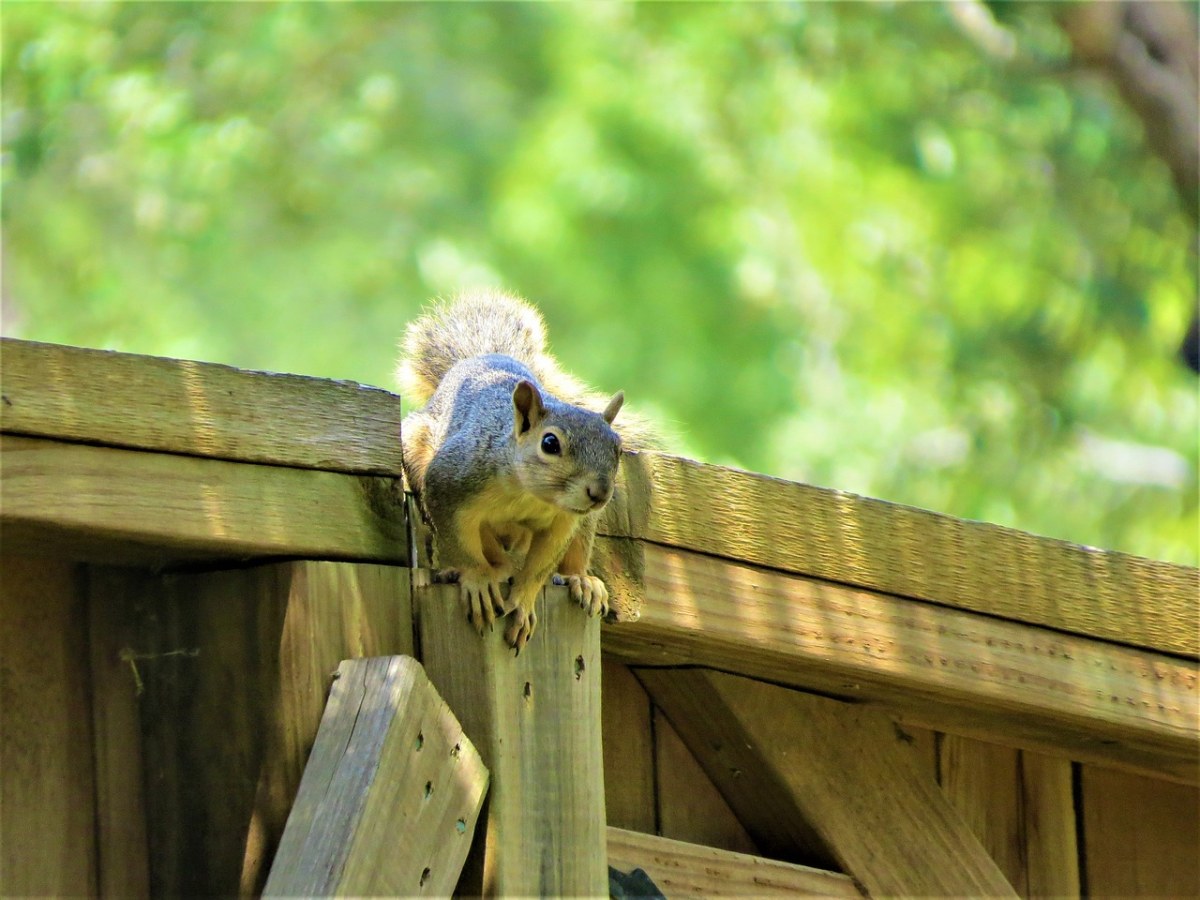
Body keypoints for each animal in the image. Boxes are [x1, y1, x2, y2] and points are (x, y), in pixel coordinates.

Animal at [398, 292, 633, 652]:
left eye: (617, 448)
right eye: (550, 443)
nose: (599, 492)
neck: (529, 495)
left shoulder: (563, 522)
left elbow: (540, 566)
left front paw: (523, 600)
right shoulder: (449, 483)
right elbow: (465, 543)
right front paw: (480, 577)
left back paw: (581, 578)